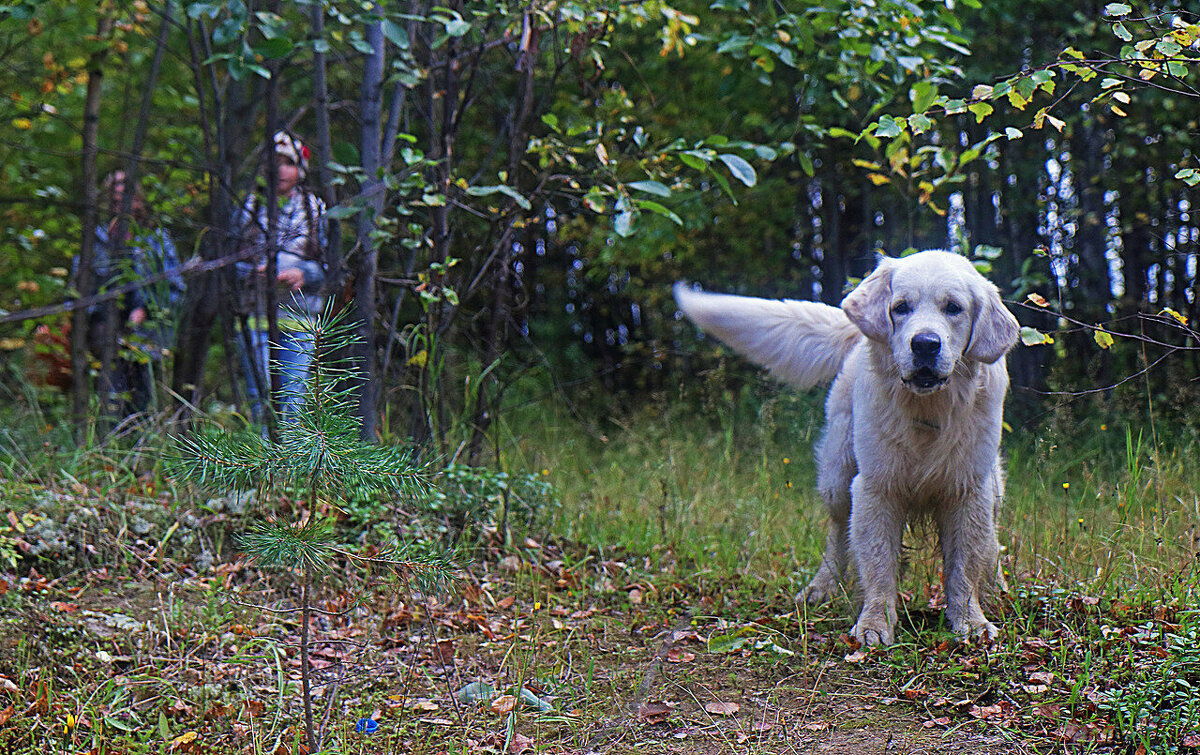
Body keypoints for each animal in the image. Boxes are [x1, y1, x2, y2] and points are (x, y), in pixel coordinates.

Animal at [676, 252, 1022, 643]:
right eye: (901, 307)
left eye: (954, 308)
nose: (925, 344)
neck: (928, 412)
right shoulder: (876, 486)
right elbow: (877, 562)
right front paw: (874, 624)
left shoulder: (969, 490)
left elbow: (964, 566)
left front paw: (970, 621)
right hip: (838, 476)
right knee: (837, 533)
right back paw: (820, 587)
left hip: (994, 490)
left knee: (991, 544)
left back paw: (997, 585)